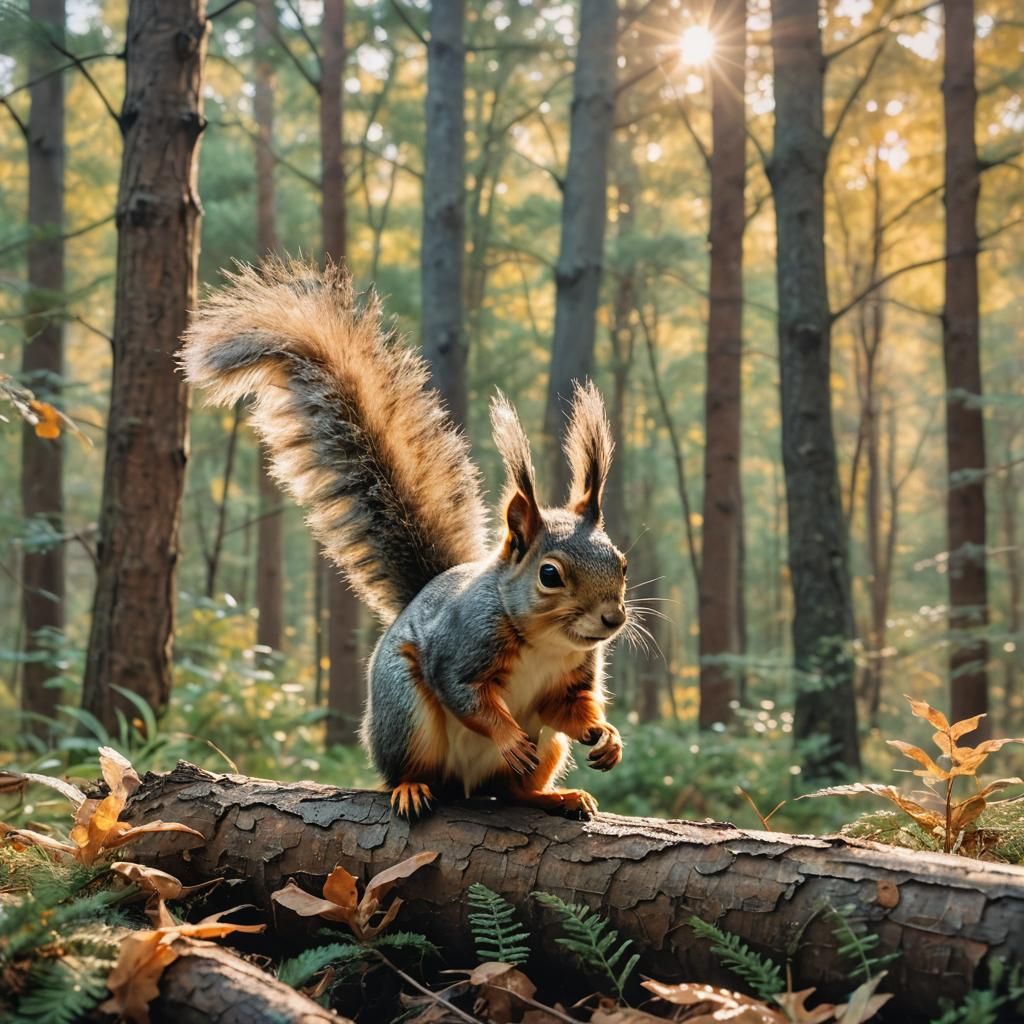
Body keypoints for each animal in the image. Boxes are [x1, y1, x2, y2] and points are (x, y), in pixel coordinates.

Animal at [181, 258, 629, 820]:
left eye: (622, 563)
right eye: (550, 574)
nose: (613, 619)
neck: (545, 641)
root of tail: (466, 785)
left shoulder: (570, 680)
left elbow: (569, 708)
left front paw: (607, 734)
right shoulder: (460, 647)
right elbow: (467, 698)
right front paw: (508, 736)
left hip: (546, 749)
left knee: (515, 790)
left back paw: (556, 796)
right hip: (405, 712)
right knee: (411, 769)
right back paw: (412, 788)